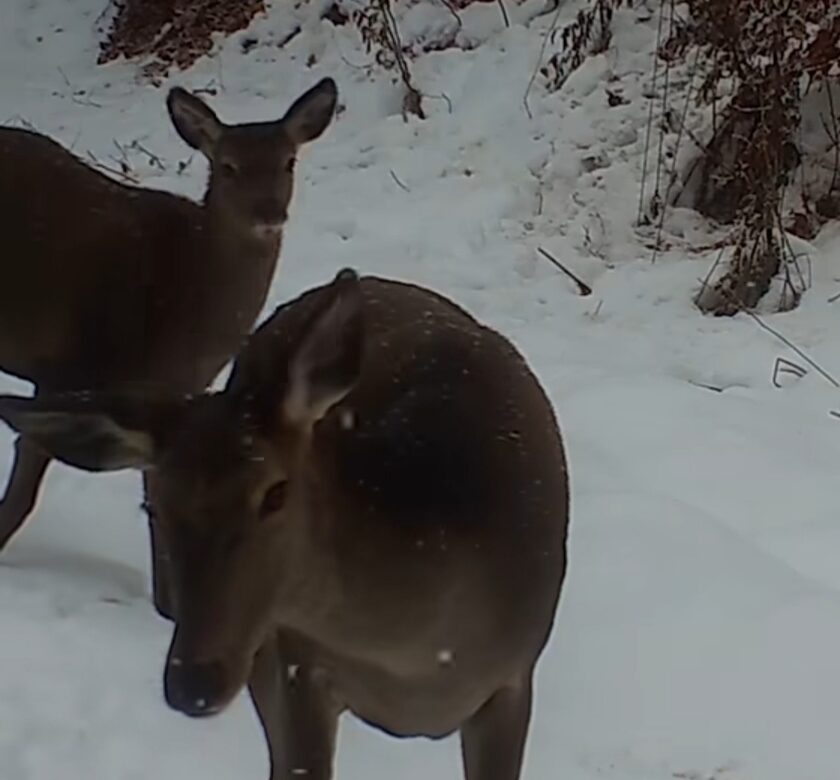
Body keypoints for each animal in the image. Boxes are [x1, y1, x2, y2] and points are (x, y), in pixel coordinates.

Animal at [0, 76, 338, 620]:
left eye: (288, 161)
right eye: (228, 165)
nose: (269, 213)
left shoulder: (171, 391)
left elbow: (156, 492)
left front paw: (168, 606)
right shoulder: (66, 367)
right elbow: (28, 481)